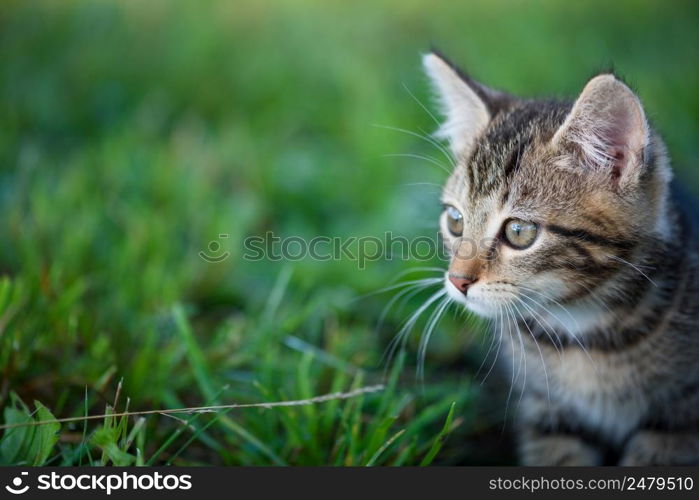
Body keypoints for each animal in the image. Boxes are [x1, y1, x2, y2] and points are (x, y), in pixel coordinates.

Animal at [422, 50, 699, 464]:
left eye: (519, 232)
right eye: (455, 221)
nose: (457, 281)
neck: (582, 330)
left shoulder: (680, 416)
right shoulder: (547, 412)